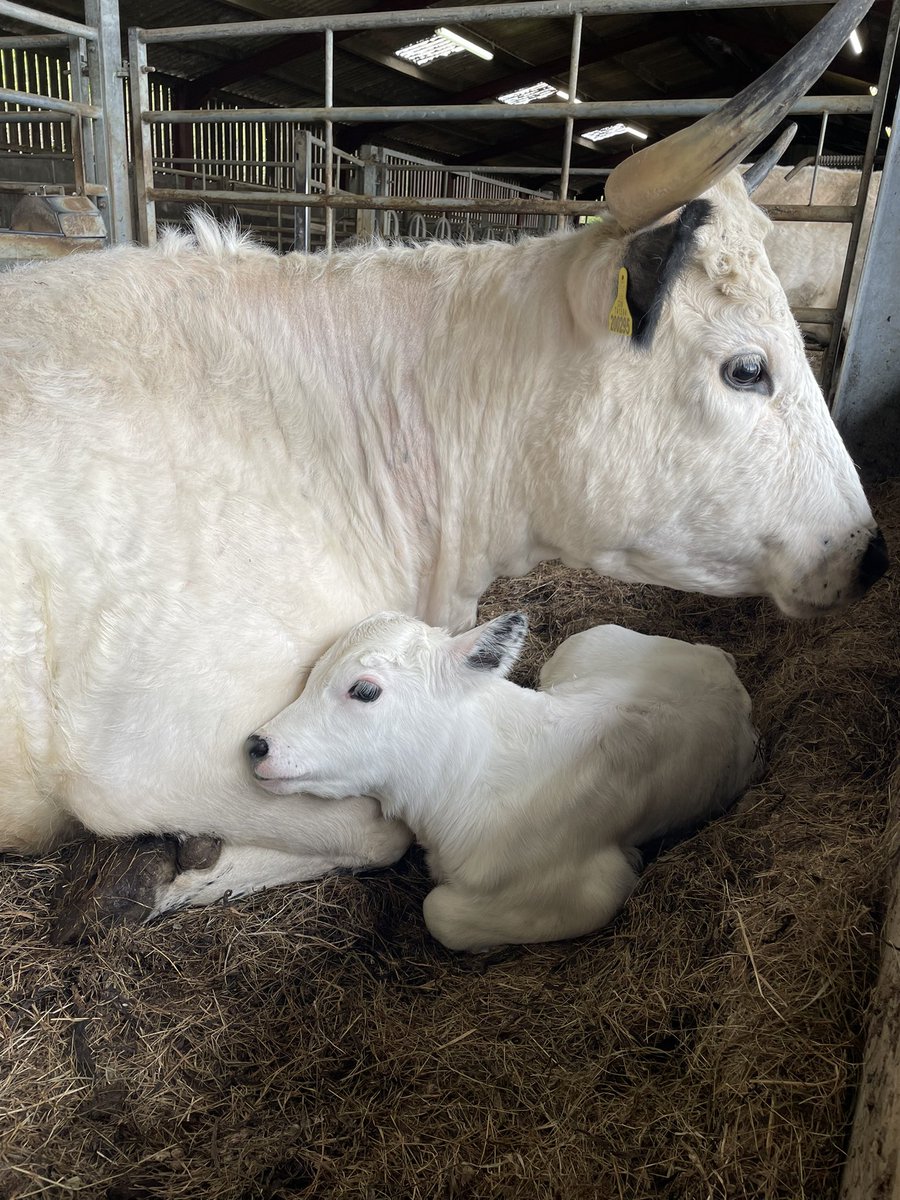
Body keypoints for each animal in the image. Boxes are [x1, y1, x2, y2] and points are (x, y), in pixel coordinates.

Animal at [247, 612, 762, 952]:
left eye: (365, 690)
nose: (256, 744)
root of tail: (721, 664)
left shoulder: (594, 891)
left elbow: (439, 912)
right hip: (582, 644)